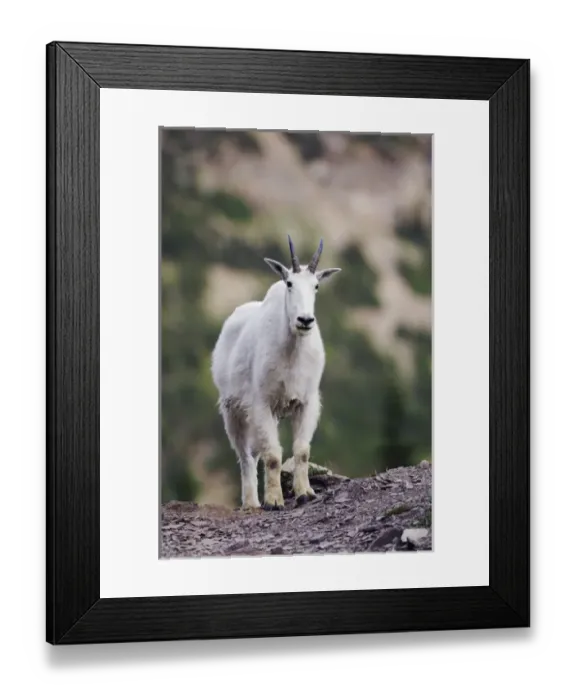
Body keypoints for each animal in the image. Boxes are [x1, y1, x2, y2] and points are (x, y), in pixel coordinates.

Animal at [211, 236, 341, 510]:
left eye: (316, 286)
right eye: (289, 283)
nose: (305, 320)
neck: (292, 350)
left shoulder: (306, 401)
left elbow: (301, 450)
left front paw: (305, 493)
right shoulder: (262, 403)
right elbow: (272, 455)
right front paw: (273, 501)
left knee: (255, 452)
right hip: (232, 410)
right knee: (245, 456)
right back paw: (252, 504)